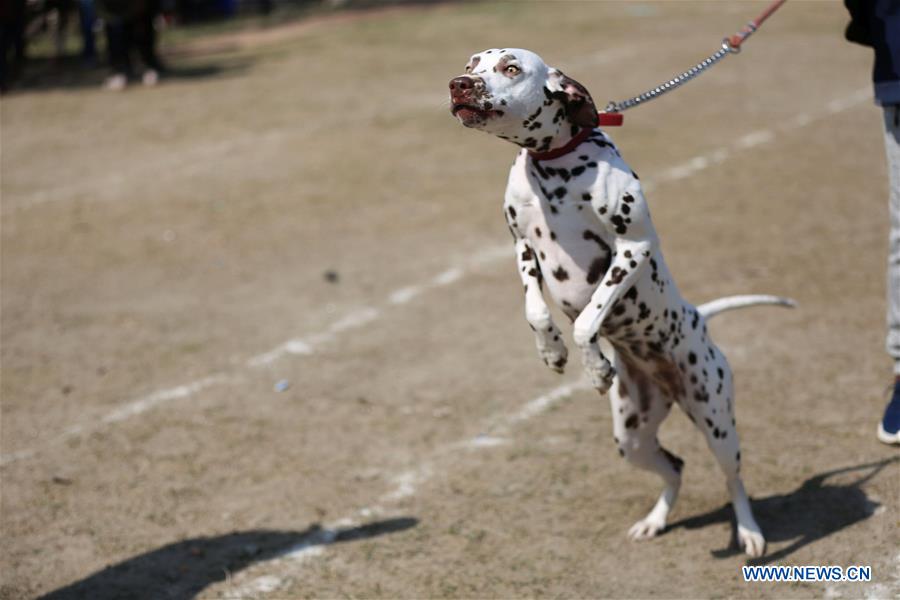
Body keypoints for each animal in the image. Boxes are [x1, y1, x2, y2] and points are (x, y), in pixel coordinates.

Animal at [446, 48, 792, 556]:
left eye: (511, 68)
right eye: (473, 63)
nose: (459, 84)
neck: (555, 168)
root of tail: (700, 318)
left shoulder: (633, 246)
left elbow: (587, 320)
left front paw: (593, 367)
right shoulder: (522, 246)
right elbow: (535, 311)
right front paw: (551, 350)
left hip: (717, 422)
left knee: (734, 480)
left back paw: (749, 533)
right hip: (632, 435)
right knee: (676, 467)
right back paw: (656, 521)